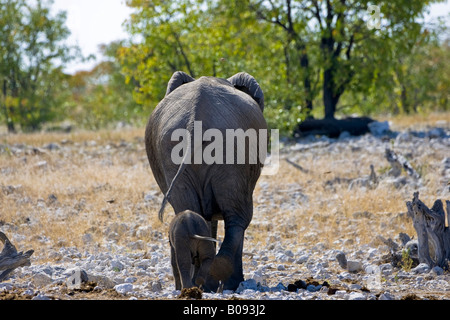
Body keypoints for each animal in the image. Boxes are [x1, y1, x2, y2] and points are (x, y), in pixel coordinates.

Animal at [146, 71, 268, 292]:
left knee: (195, 212)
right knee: (239, 218)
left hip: (180, 149)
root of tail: (197, 120)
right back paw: (220, 280)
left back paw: (203, 283)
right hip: (232, 151)